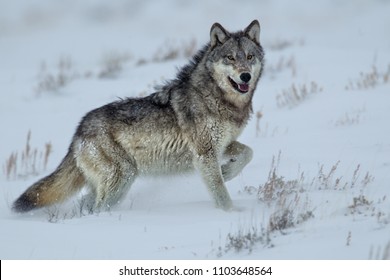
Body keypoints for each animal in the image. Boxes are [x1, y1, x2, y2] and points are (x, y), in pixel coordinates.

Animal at [13, 20, 266, 212]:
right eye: (230, 58)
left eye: (249, 57)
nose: (245, 76)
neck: (217, 98)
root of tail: (79, 130)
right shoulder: (205, 154)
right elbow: (221, 192)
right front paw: (231, 213)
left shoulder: (223, 145)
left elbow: (248, 153)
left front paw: (228, 171)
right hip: (122, 178)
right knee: (98, 208)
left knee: (86, 204)